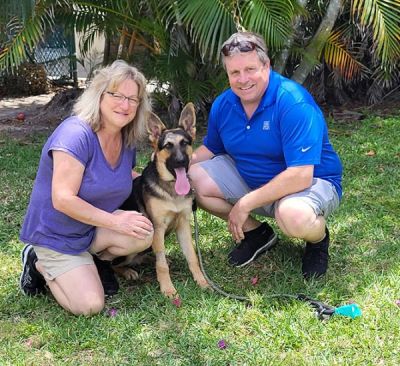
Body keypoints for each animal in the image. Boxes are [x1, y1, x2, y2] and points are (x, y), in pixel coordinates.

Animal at [117, 103, 208, 298]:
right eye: (167, 146)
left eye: (185, 143)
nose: (181, 161)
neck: (171, 189)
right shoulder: (157, 228)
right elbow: (161, 265)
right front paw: (167, 288)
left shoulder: (183, 225)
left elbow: (192, 257)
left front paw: (202, 281)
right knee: (113, 263)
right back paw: (127, 271)